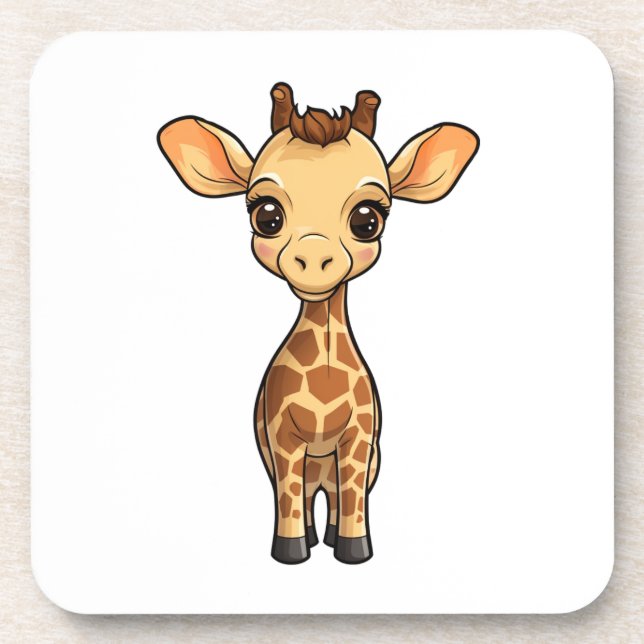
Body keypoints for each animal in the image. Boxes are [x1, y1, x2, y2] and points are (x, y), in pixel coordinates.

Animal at [158, 83, 479, 564]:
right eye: (266, 214)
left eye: (368, 219)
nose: (312, 258)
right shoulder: (282, 439)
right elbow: (290, 497)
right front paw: (291, 552)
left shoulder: (360, 438)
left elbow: (354, 498)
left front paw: (354, 551)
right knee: (304, 495)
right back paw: (310, 537)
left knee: (337, 495)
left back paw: (328, 537)